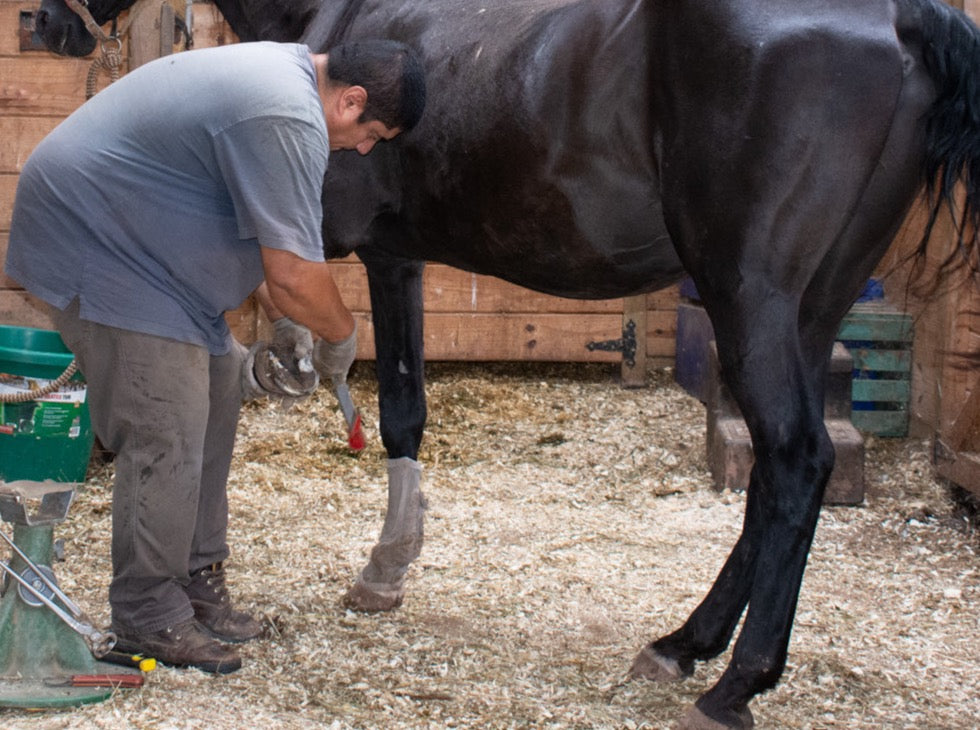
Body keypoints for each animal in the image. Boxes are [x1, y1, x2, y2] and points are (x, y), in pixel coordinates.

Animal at [30, 0, 980, 724]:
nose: (45, 25)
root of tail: (896, 14)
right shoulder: (397, 257)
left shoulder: (374, 255)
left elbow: (395, 407)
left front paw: (381, 571)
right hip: (812, 311)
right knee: (778, 475)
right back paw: (683, 646)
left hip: (752, 299)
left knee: (795, 463)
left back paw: (735, 683)